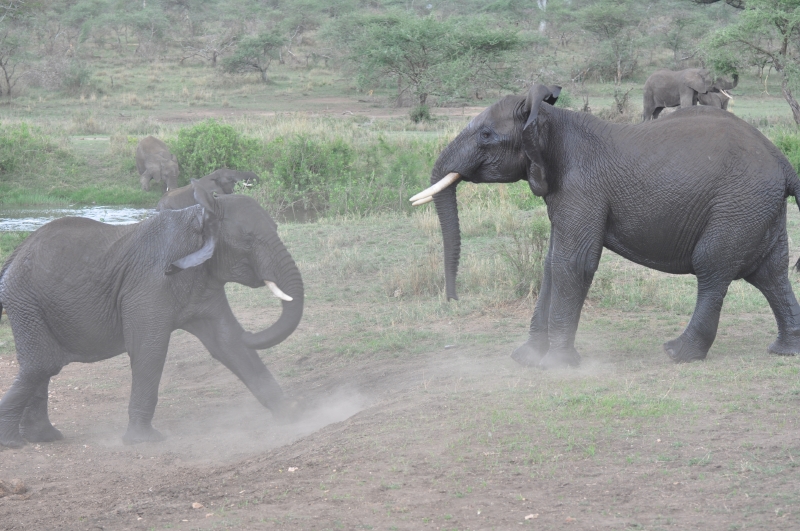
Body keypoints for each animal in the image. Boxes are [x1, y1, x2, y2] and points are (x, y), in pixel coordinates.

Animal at [0, 183, 304, 448]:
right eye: (249, 239)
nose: (251, 331)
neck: (201, 215)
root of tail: (14, 255)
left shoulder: (202, 280)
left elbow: (228, 342)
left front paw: (291, 416)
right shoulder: (151, 282)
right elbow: (149, 350)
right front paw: (144, 441)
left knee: (41, 366)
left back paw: (43, 438)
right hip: (26, 301)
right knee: (42, 364)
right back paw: (13, 442)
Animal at [410, 84, 800, 369]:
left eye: (486, 135)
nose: (453, 299)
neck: (551, 118)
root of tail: (782, 162)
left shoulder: (582, 189)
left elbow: (572, 264)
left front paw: (557, 366)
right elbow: (551, 264)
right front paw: (526, 359)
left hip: (737, 205)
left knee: (712, 267)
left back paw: (677, 353)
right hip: (756, 208)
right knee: (770, 274)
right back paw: (784, 350)